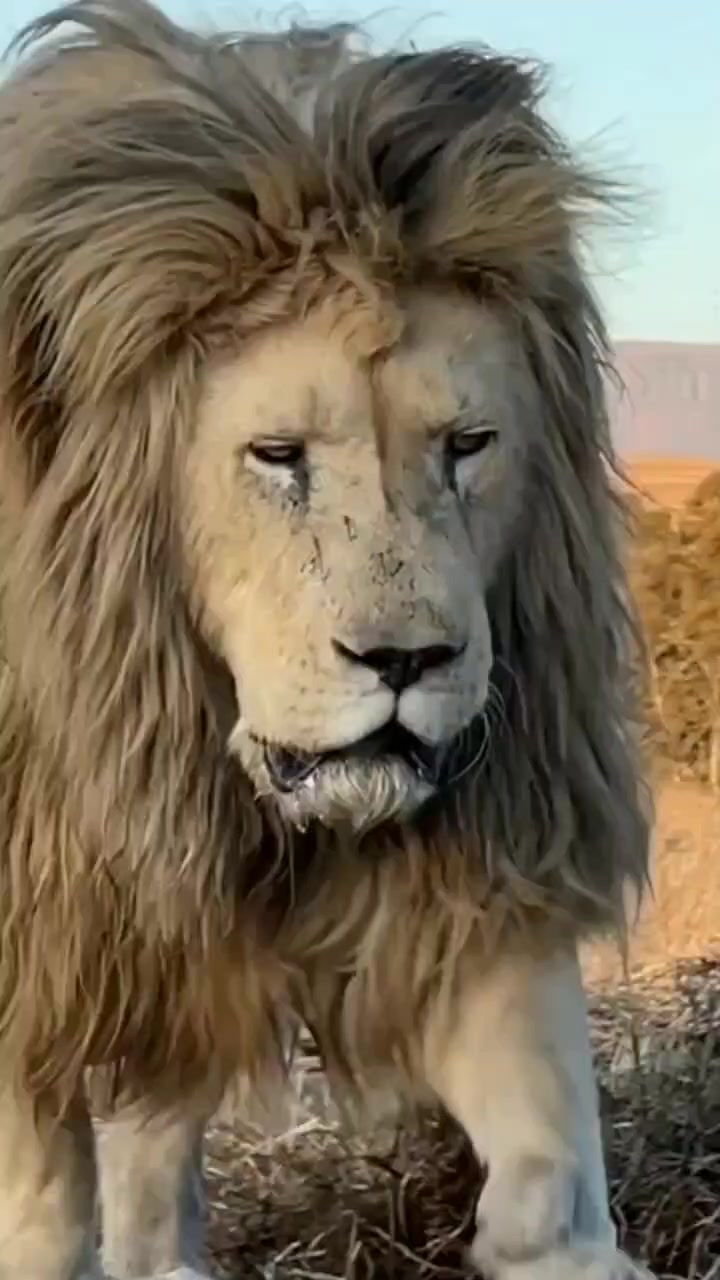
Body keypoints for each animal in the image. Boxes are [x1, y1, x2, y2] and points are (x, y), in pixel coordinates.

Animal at [0, 3, 653, 1278]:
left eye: (467, 443)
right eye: (277, 454)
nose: (406, 664)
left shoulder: (475, 852)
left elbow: (550, 1156)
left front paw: (548, 1242)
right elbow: (40, 1208)